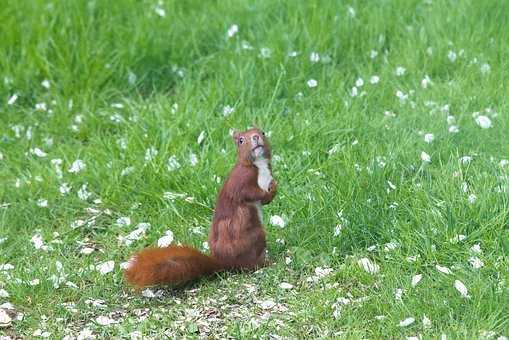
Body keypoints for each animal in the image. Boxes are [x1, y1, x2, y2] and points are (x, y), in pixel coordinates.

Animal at [124, 129, 278, 288]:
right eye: (241, 140)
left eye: (262, 132)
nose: (256, 137)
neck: (259, 165)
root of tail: (226, 263)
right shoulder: (241, 181)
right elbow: (250, 193)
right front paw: (271, 189)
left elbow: (265, 200)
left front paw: (273, 188)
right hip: (256, 235)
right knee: (250, 265)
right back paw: (266, 262)